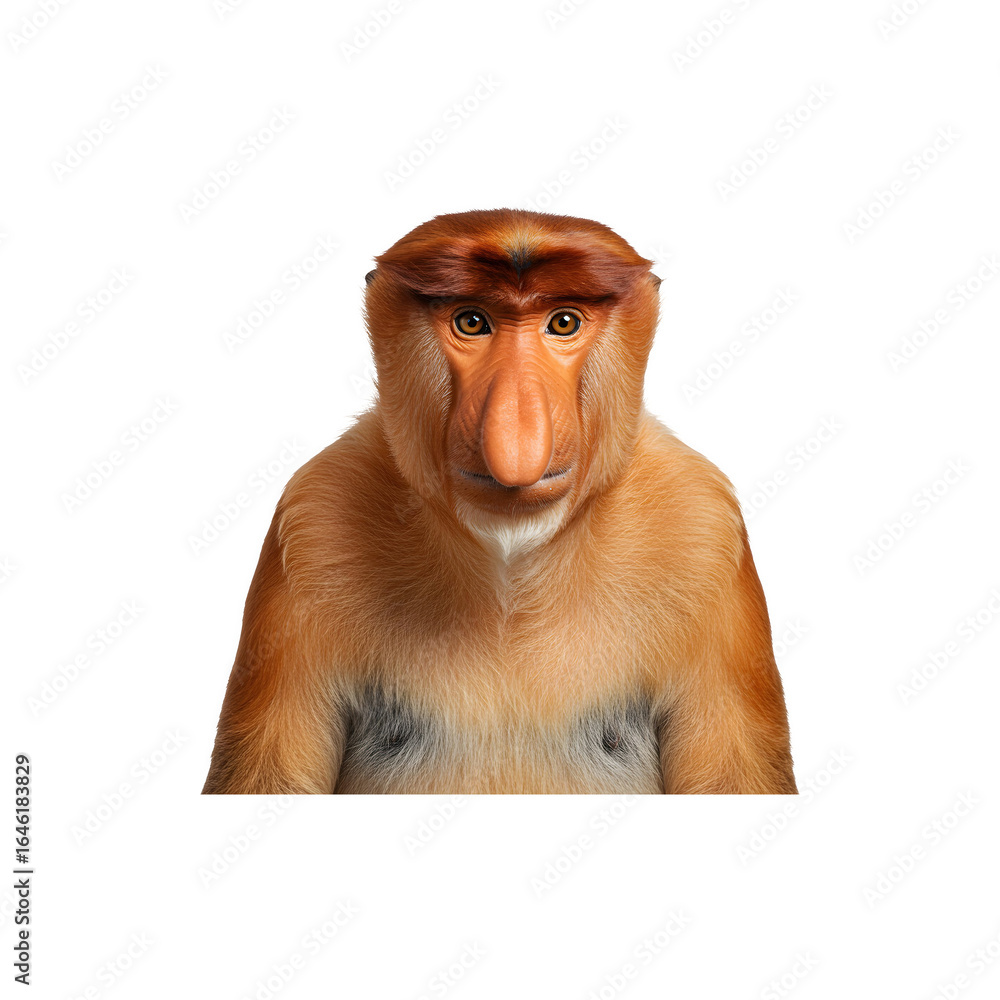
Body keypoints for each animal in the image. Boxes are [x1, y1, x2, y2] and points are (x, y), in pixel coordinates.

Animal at [203, 208, 796, 795]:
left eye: (563, 323)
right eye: (472, 322)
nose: (516, 439)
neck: (510, 569)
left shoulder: (705, 532)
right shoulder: (311, 524)